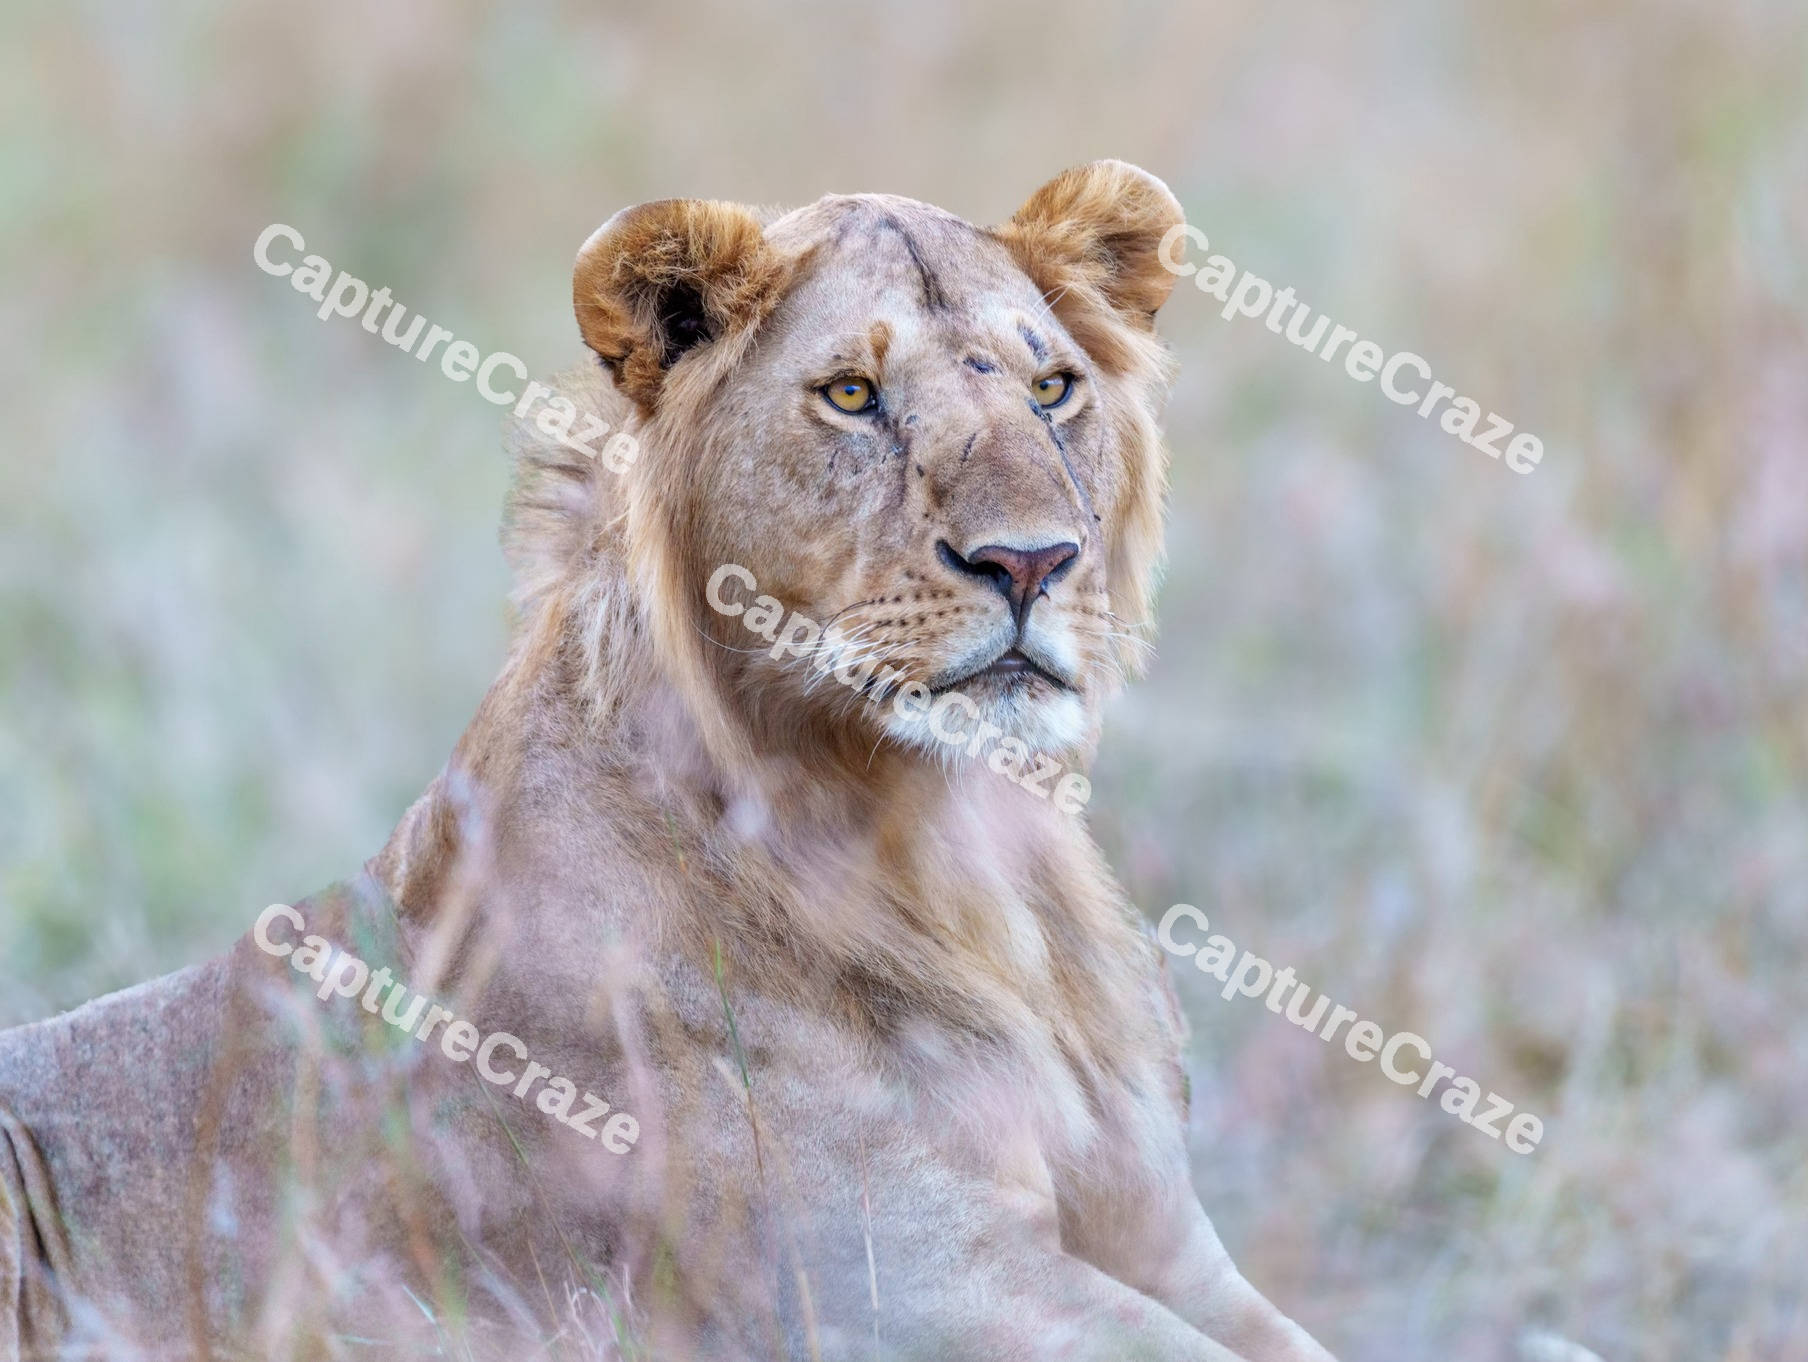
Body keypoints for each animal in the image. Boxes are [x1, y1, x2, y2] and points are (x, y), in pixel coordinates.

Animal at [0, 162, 1337, 1361]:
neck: (958, 849)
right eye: (851, 394)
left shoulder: (1167, 1246)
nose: (1029, 561)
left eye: (1052, 386)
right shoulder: (902, 1279)